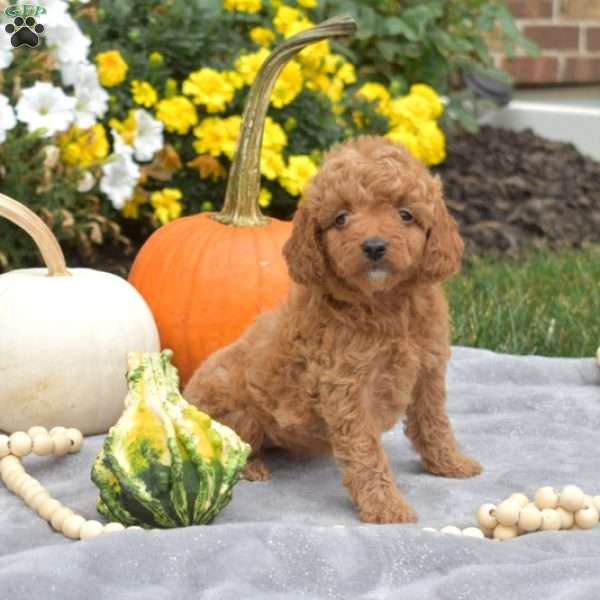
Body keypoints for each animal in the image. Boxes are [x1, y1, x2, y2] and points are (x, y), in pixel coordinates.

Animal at [184, 135, 482, 520]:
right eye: (341, 218)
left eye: (405, 214)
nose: (374, 246)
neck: (387, 306)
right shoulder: (348, 388)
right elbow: (366, 453)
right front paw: (386, 506)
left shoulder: (427, 369)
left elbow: (433, 421)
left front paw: (450, 463)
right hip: (231, 403)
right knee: (230, 444)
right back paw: (251, 467)